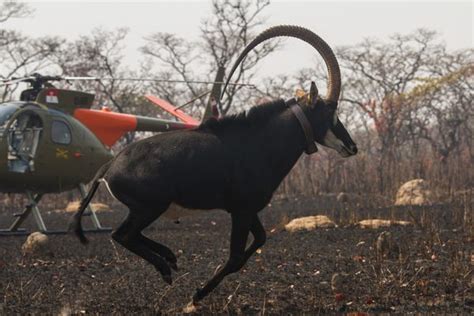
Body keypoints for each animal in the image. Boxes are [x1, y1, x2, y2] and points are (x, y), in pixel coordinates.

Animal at [70, 24, 358, 302]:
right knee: (122, 234)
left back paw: (170, 257)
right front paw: (197, 295)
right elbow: (235, 257)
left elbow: (259, 240)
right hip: (149, 207)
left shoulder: (247, 209)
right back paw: (165, 268)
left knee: (128, 235)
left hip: (145, 209)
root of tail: (110, 166)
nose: (352, 146)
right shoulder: (241, 210)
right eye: (330, 112)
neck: (261, 141)